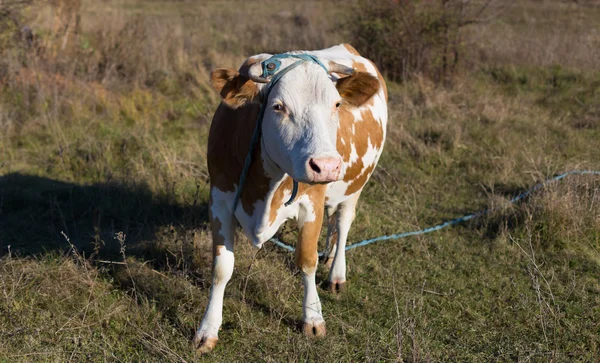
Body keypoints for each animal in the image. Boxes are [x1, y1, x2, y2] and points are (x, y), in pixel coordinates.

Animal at [193, 42, 390, 352]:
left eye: (336, 105)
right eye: (278, 106)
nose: (327, 166)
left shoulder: (312, 205)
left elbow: (306, 260)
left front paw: (313, 318)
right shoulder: (220, 200)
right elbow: (221, 268)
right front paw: (207, 329)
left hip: (355, 186)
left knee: (343, 222)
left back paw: (336, 273)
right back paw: (329, 254)